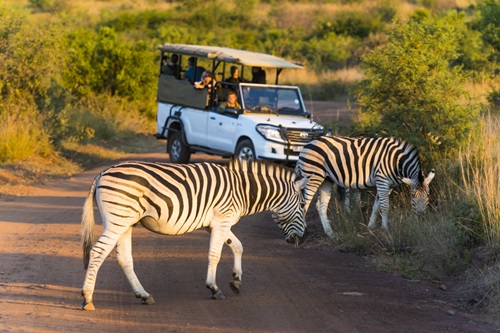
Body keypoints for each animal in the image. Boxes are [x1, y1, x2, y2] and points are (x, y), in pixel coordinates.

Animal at [81, 158, 308, 308]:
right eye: (302, 205)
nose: (304, 238)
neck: (242, 190)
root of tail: (103, 173)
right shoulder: (221, 220)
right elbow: (215, 255)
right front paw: (214, 288)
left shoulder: (217, 224)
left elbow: (238, 246)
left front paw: (236, 280)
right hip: (117, 220)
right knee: (98, 252)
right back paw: (87, 298)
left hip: (126, 223)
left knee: (124, 259)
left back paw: (143, 295)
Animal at [294, 135, 436, 236]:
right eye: (412, 196)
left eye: (428, 195)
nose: (422, 217)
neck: (396, 162)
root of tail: (307, 144)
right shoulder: (382, 180)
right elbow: (385, 207)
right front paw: (385, 229)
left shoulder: (388, 185)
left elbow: (376, 206)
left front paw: (370, 227)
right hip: (313, 177)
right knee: (304, 204)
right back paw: (302, 232)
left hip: (326, 179)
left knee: (320, 205)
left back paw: (330, 233)